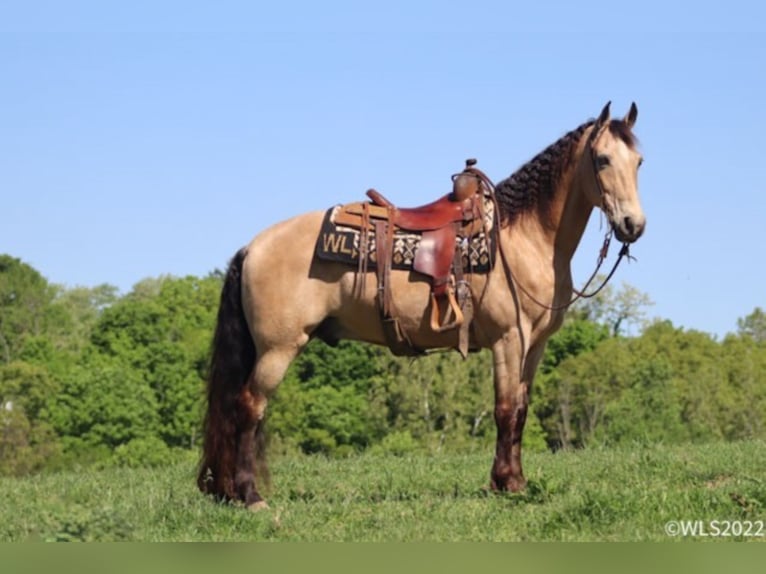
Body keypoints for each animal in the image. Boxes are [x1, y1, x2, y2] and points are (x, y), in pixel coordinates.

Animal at [196, 101, 648, 510]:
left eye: (639, 161)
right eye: (603, 159)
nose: (634, 225)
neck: (524, 238)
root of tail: (252, 247)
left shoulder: (534, 346)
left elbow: (520, 410)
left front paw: (515, 481)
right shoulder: (507, 340)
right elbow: (504, 410)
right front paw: (504, 484)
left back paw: (230, 491)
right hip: (277, 349)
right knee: (249, 409)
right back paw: (249, 496)